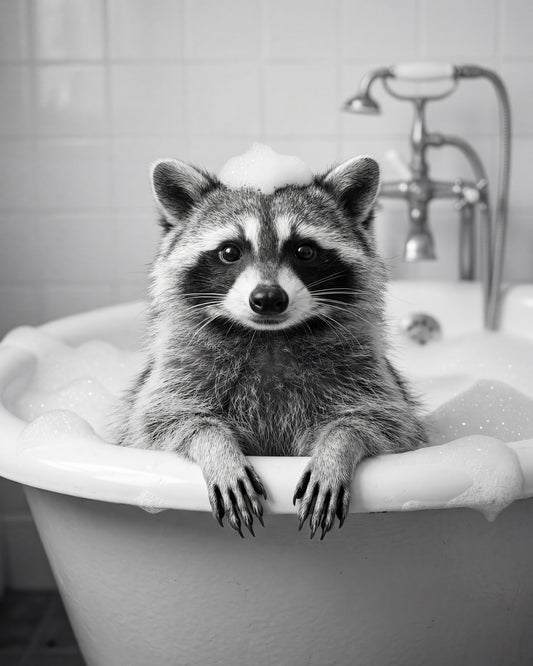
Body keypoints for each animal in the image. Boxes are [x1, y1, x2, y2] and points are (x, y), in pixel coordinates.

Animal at [118, 155, 427, 539]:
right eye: (230, 251)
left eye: (304, 251)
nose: (267, 298)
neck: (269, 338)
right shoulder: (179, 370)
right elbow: (160, 423)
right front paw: (216, 448)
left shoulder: (364, 369)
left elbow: (387, 425)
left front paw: (337, 447)